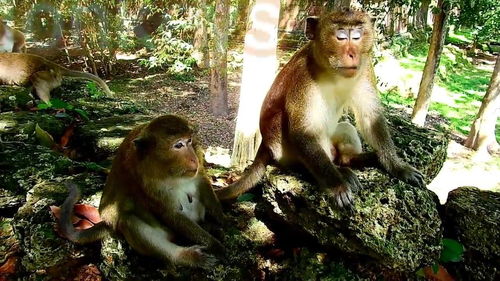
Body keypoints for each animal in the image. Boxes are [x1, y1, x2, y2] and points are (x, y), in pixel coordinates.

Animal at [57, 115, 227, 268]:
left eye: (189, 141)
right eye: (178, 145)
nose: (193, 159)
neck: (168, 170)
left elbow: (201, 181)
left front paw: (223, 219)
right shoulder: (146, 181)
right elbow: (170, 213)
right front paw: (215, 245)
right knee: (129, 220)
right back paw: (186, 256)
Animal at [217, 9, 424, 207]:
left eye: (357, 36)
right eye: (341, 37)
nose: (352, 54)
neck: (333, 72)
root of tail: (264, 145)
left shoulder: (365, 68)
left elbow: (371, 117)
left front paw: (396, 166)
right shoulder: (303, 76)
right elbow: (303, 131)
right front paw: (337, 186)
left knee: (345, 128)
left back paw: (353, 160)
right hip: (282, 148)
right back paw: (332, 171)